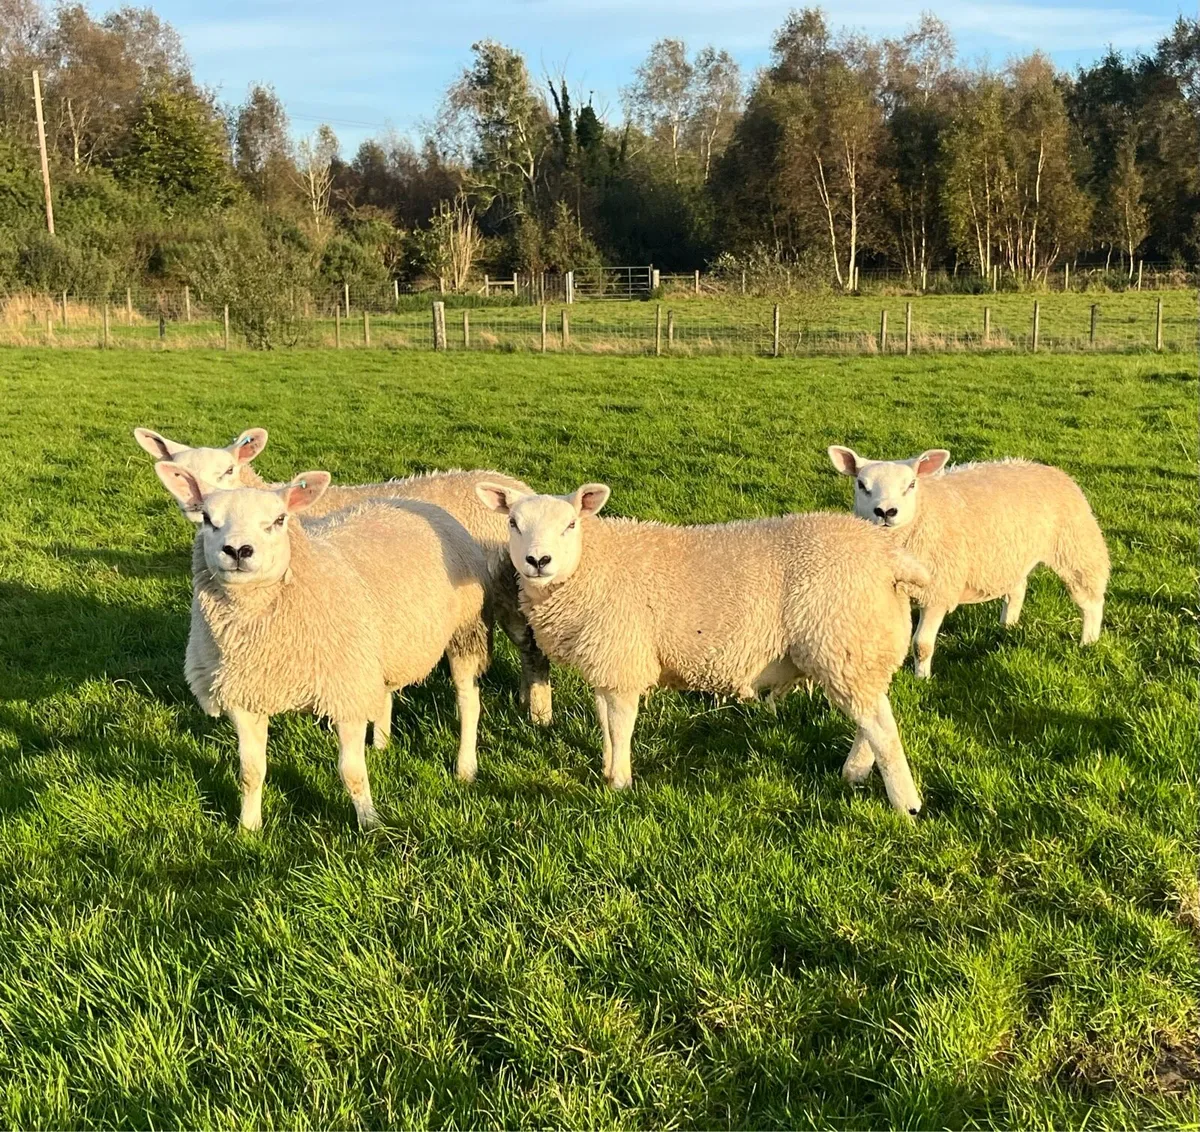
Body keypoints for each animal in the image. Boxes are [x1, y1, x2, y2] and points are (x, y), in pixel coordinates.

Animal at [133, 427, 553, 724]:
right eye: (180, 474)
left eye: (228, 469)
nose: (196, 505)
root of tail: (521, 488)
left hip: (510, 587)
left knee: (532, 649)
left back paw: (538, 714)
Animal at [154, 462, 490, 831]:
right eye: (207, 519)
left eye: (280, 519)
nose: (238, 551)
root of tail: (407, 500)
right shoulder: (245, 695)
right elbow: (250, 772)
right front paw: (248, 828)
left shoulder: (345, 693)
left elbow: (351, 772)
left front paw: (371, 824)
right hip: (382, 646)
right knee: (384, 692)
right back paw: (382, 745)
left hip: (464, 629)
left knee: (468, 700)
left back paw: (465, 767)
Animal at [475, 481, 932, 815]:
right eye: (513, 523)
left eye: (570, 524)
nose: (538, 561)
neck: (591, 564)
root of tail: (889, 556)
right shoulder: (608, 663)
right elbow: (605, 722)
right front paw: (607, 768)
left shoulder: (622, 657)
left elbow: (620, 726)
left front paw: (620, 782)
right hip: (860, 648)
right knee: (872, 717)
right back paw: (854, 772)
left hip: (843, 639)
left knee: (882, 728)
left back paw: (906, 805)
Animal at [827, 446, 1110, 678]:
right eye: (861, 485)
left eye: (911, 485)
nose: (886, 512)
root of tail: (1047, 468)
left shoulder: (938, 590)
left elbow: (921, 645)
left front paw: (922, 678)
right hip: (1011, 553)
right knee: (1018, 589)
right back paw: (1007, 626)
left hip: (1076, 547)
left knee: (1091, 600)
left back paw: (1089, 641)